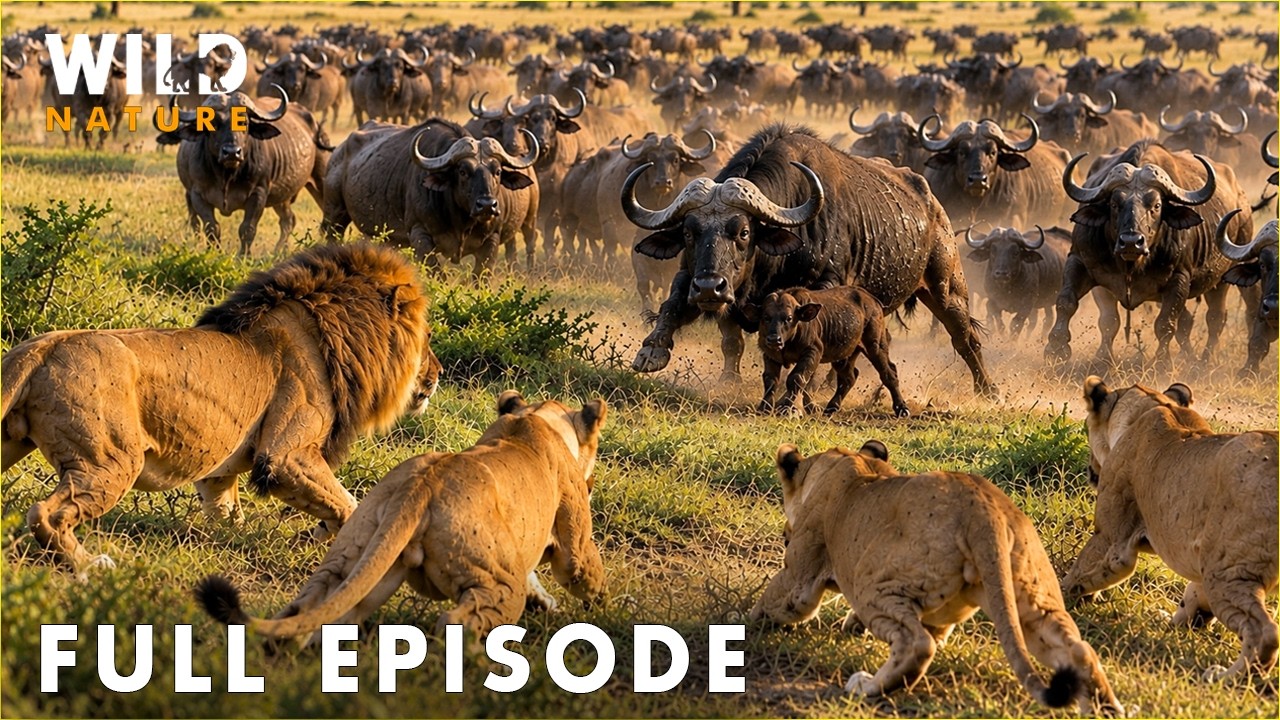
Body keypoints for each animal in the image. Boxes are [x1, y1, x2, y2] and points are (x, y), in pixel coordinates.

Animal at [1, 243, 441, 575]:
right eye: (427, 338)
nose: (436, 374)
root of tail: (40, 348)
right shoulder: (285, 456)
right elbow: (349, 504)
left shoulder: (219, 472)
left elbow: (231, 513)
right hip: (113, 461)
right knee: (45, 513)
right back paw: (92, 565)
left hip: (13, 440)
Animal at [195, 390, 608, 645]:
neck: (534, 418)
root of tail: (419, 489)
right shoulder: (570, 537)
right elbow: (582, 568)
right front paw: (602, 605)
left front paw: (548, 603)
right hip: (496, 580)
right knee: (458, 622)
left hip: (355, 557)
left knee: (311, 608)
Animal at [750, 442, 1122, 715]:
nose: (784, 534)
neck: (849, 461)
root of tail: (985, 513)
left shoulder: (801, 572)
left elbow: (776, 598)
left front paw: (745, 621)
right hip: (1029, 598)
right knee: (1077, 649)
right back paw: (1105, 709)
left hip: (874, 584)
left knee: (916, 643)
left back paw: (867, 687)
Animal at [1063, 376, 1279, 682]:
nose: (1090, 471)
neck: (1155, 405)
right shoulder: (1204, 559)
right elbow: (1192, 598)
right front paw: (1173, 621)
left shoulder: (1112, 540)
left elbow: (1080, 570)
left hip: (1230, 572)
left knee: (1265, 632)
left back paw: (1224, 677)